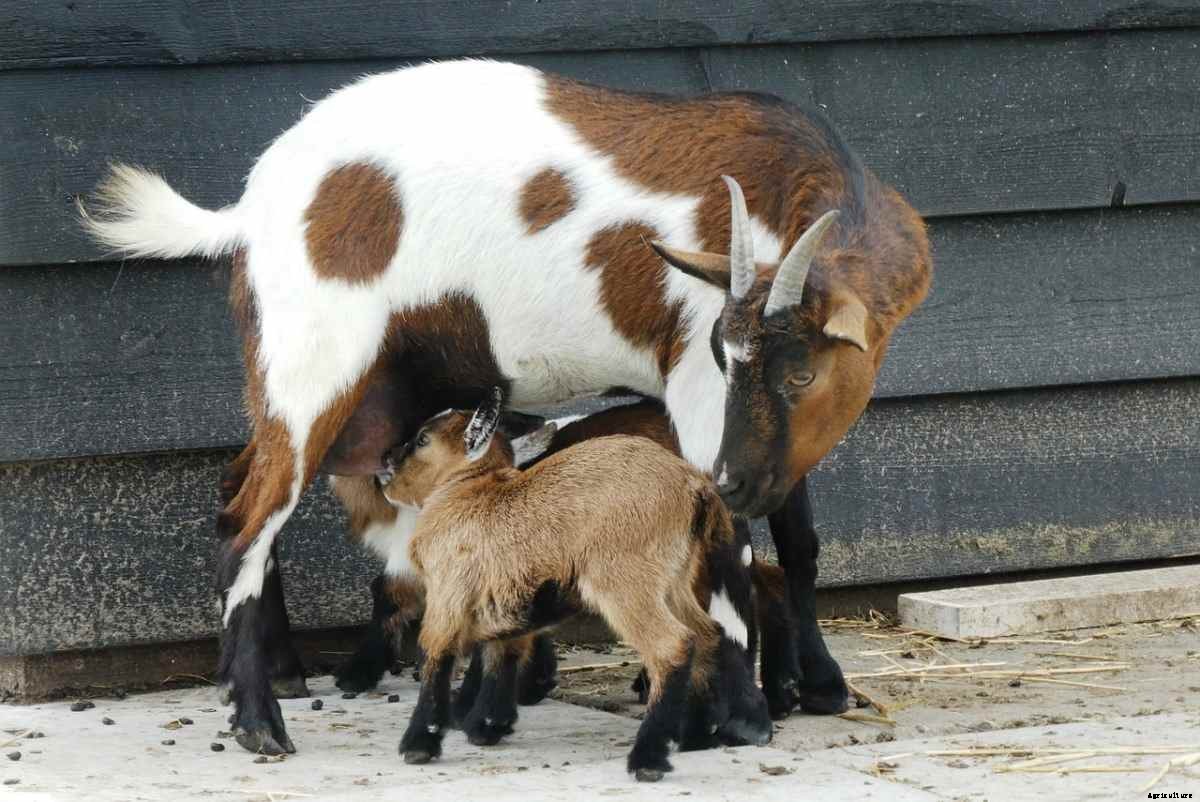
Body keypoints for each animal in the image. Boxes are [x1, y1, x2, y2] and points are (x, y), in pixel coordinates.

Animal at [377, 390, 771, 780]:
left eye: (422, 440)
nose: (385, 465)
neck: (467, 491)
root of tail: (693, 487)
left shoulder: (448, 594)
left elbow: (437, 655)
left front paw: (418, 745)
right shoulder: (504, 597)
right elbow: (502, 653)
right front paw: (487, 726)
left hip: (626, 582)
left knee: (672, 645)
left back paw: (648, 759)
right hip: (673, 579)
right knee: (708, 633)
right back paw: (696, 736)